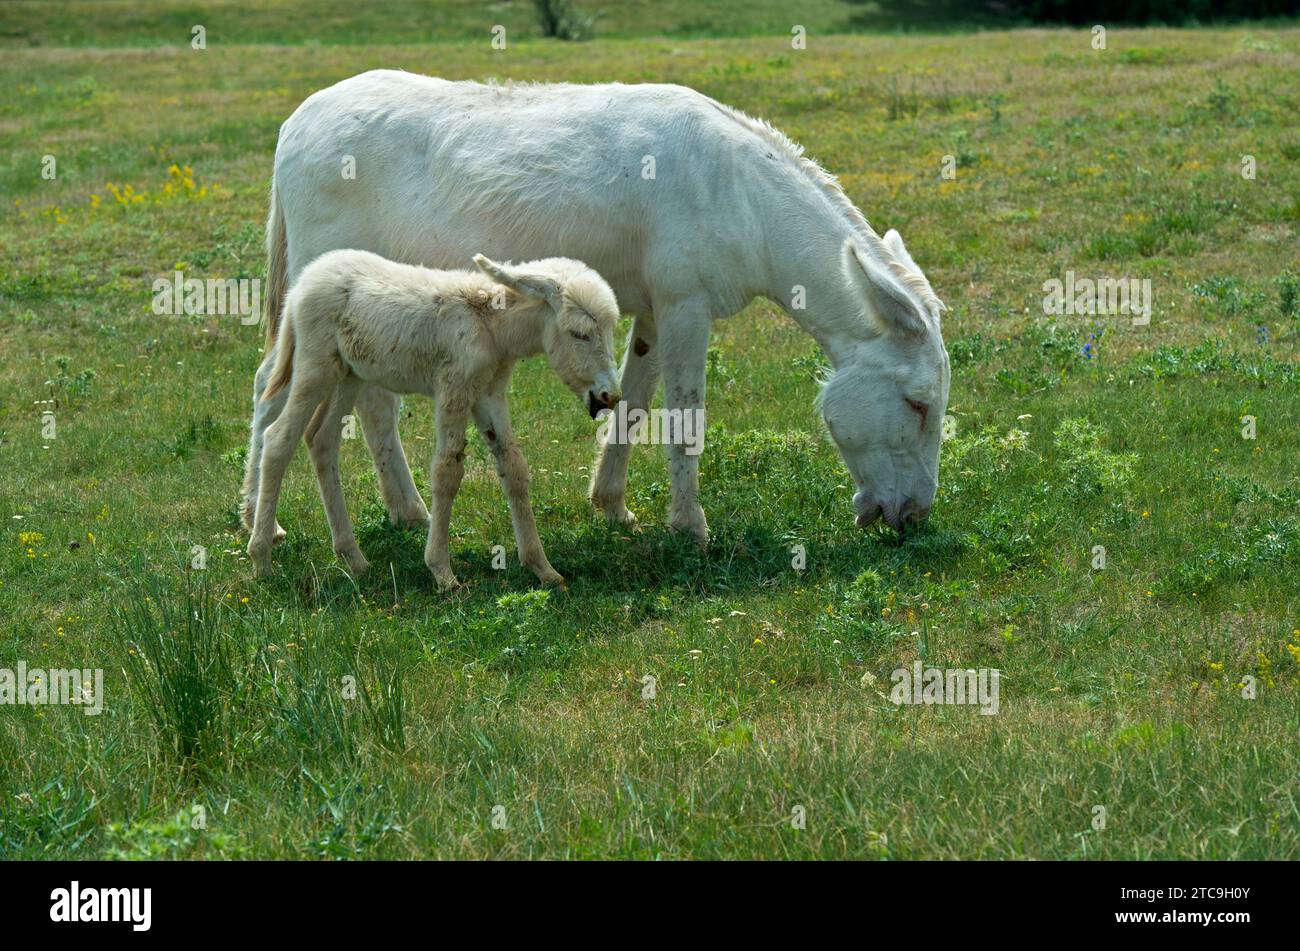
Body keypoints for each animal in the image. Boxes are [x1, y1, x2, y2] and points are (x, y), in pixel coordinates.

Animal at [252, 246, 624, 587]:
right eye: (579, 334)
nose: (611, 395)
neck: (489, 324)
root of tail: (301, 283)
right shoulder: (453, 388)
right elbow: (447, 471)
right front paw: (442, 572)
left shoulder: (489, 394)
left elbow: (514, 467)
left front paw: (543, 568)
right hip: (315, 365)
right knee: (279, 439)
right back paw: (262, 560)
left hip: (349, 373)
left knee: (321, 439)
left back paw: (353, 559)